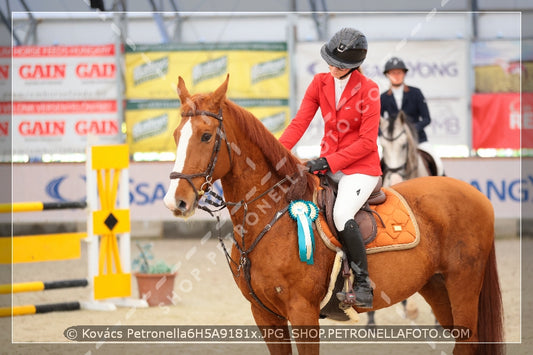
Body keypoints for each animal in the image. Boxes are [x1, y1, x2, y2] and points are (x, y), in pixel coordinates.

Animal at [163, 76, 502, 355]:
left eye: (206, 136)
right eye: (177, 134)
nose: (175, 201)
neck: (271, 217)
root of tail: (477, 196)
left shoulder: (303, 313)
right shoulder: (265, 315)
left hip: (463, 284)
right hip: (437, 286)